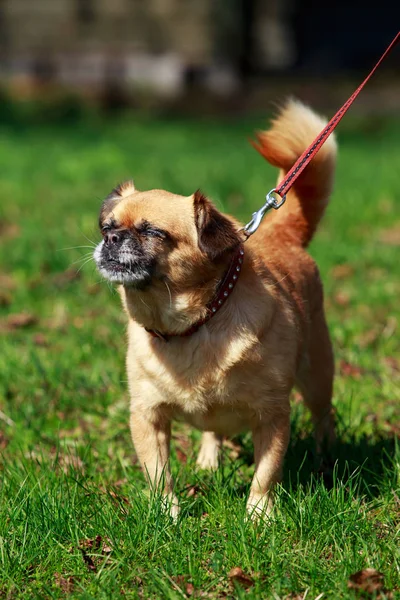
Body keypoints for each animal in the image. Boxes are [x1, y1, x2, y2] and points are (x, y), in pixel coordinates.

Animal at [94, 101, 338, 516]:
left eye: (153, 232)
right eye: (106, 227)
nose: (111, 239)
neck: (190, 326)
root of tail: (280, 233)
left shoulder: (272, 416)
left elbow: (266, 473)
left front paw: (258, 516)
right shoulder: (148, 417)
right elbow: (158, 473)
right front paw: (168, 515)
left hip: (318, 375)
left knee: (324, 417)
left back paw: (325, 458)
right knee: (213, 430)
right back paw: (210, 460)